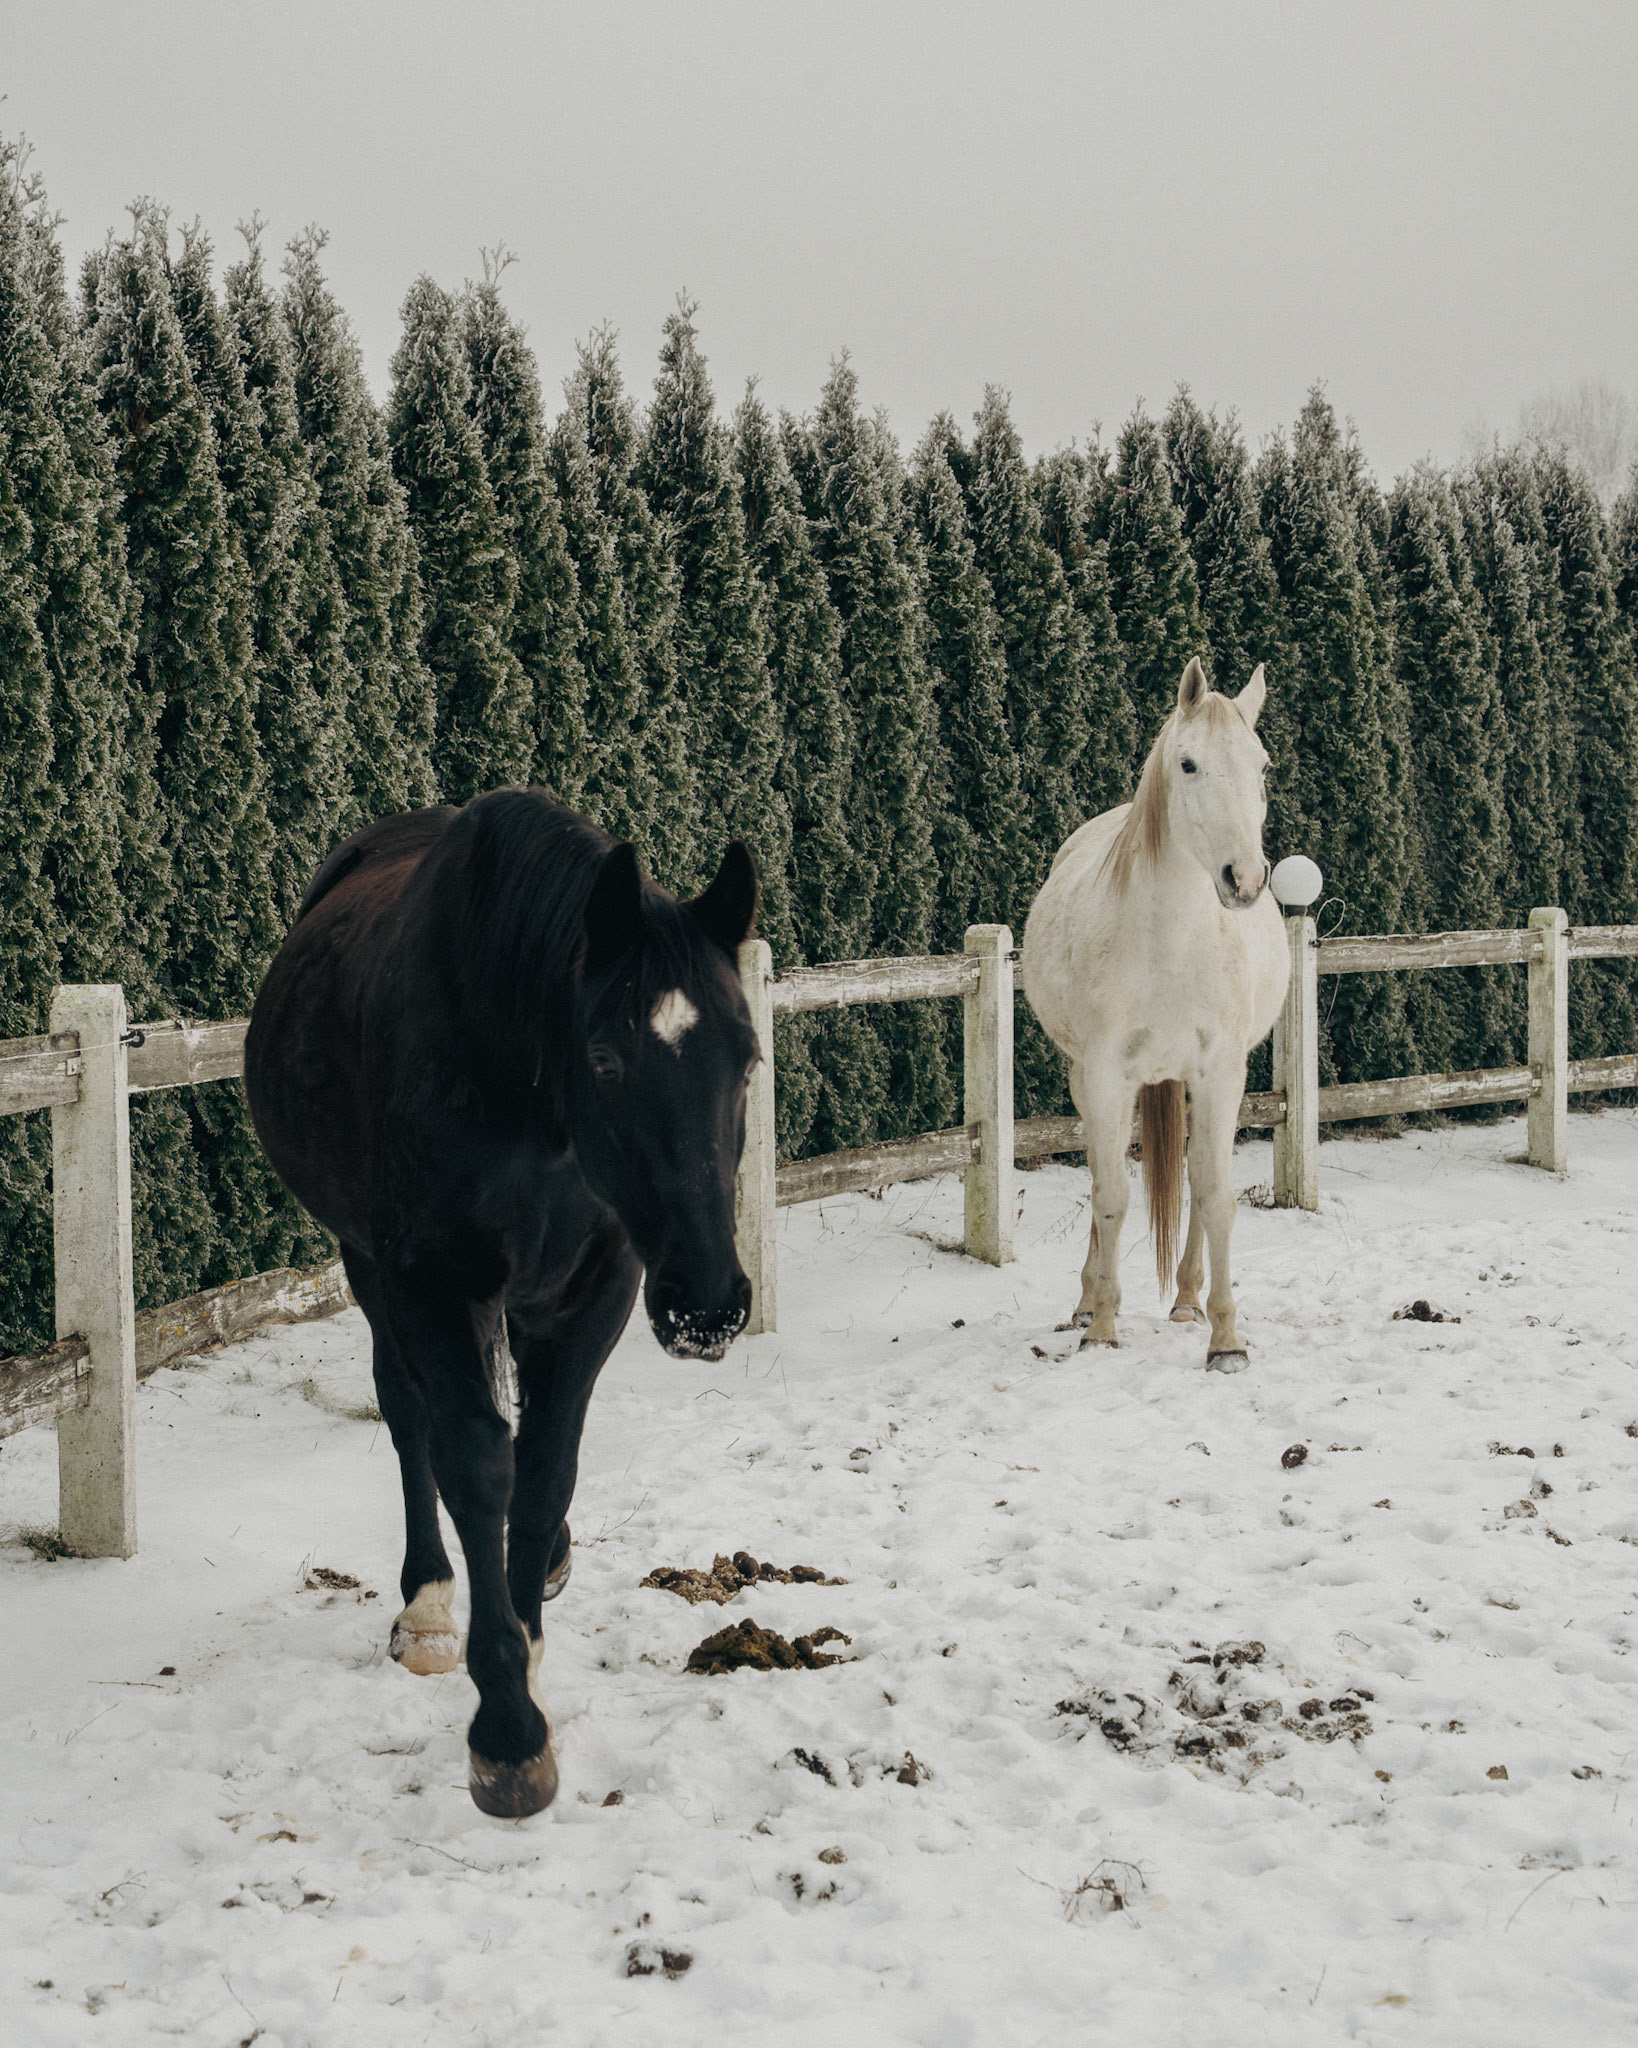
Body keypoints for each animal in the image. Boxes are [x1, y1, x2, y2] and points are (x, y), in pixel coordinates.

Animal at [243, 790, 759, 1818]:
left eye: (749, 1058)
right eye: (606, 1059)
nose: (710, 1306)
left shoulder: (600, 1286)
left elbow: (547, 1464)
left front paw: (529, 1633)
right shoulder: (431, 1283)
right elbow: (478, 1463)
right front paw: (508, 1729)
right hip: (370, 1267)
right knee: (411, 1419)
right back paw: (429, 1607)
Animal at [1022, 657, 1285, 1367]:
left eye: (1262, 767)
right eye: (1188, 764)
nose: (1245, 880)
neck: (1170, 945)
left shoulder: (1221, 1073)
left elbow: (1216, 1196)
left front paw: (1226, 1339)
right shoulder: (1106, 1077)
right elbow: (1112, 1194)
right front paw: (1103, 1327)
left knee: (1192, 1182)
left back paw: (1188, 1299)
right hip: (1087, 1081)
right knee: (1101, 1172)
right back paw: (1089, 1301)